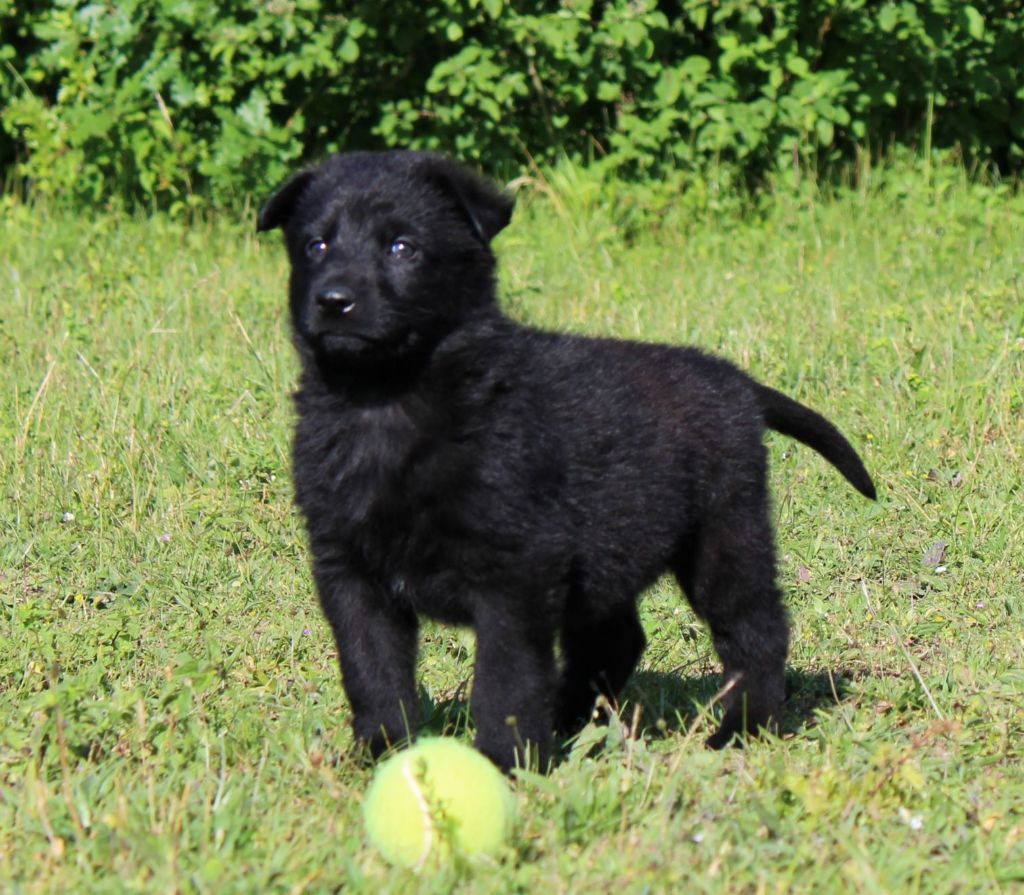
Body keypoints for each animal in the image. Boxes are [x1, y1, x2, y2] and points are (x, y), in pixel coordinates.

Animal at [257, 151, 876, 772]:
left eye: (401, 247)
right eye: (315, 245)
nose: (333, 301)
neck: (387, 400)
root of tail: (738, 382)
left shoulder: (513, 576)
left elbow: (504, 683)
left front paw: (503, 763)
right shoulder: (350, 571)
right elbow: (373, 672)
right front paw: (382, 752)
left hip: (725, 536)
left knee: (754, 628)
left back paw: (744, 727)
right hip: (610, 549)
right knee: (617, 640)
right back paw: (568, 719)